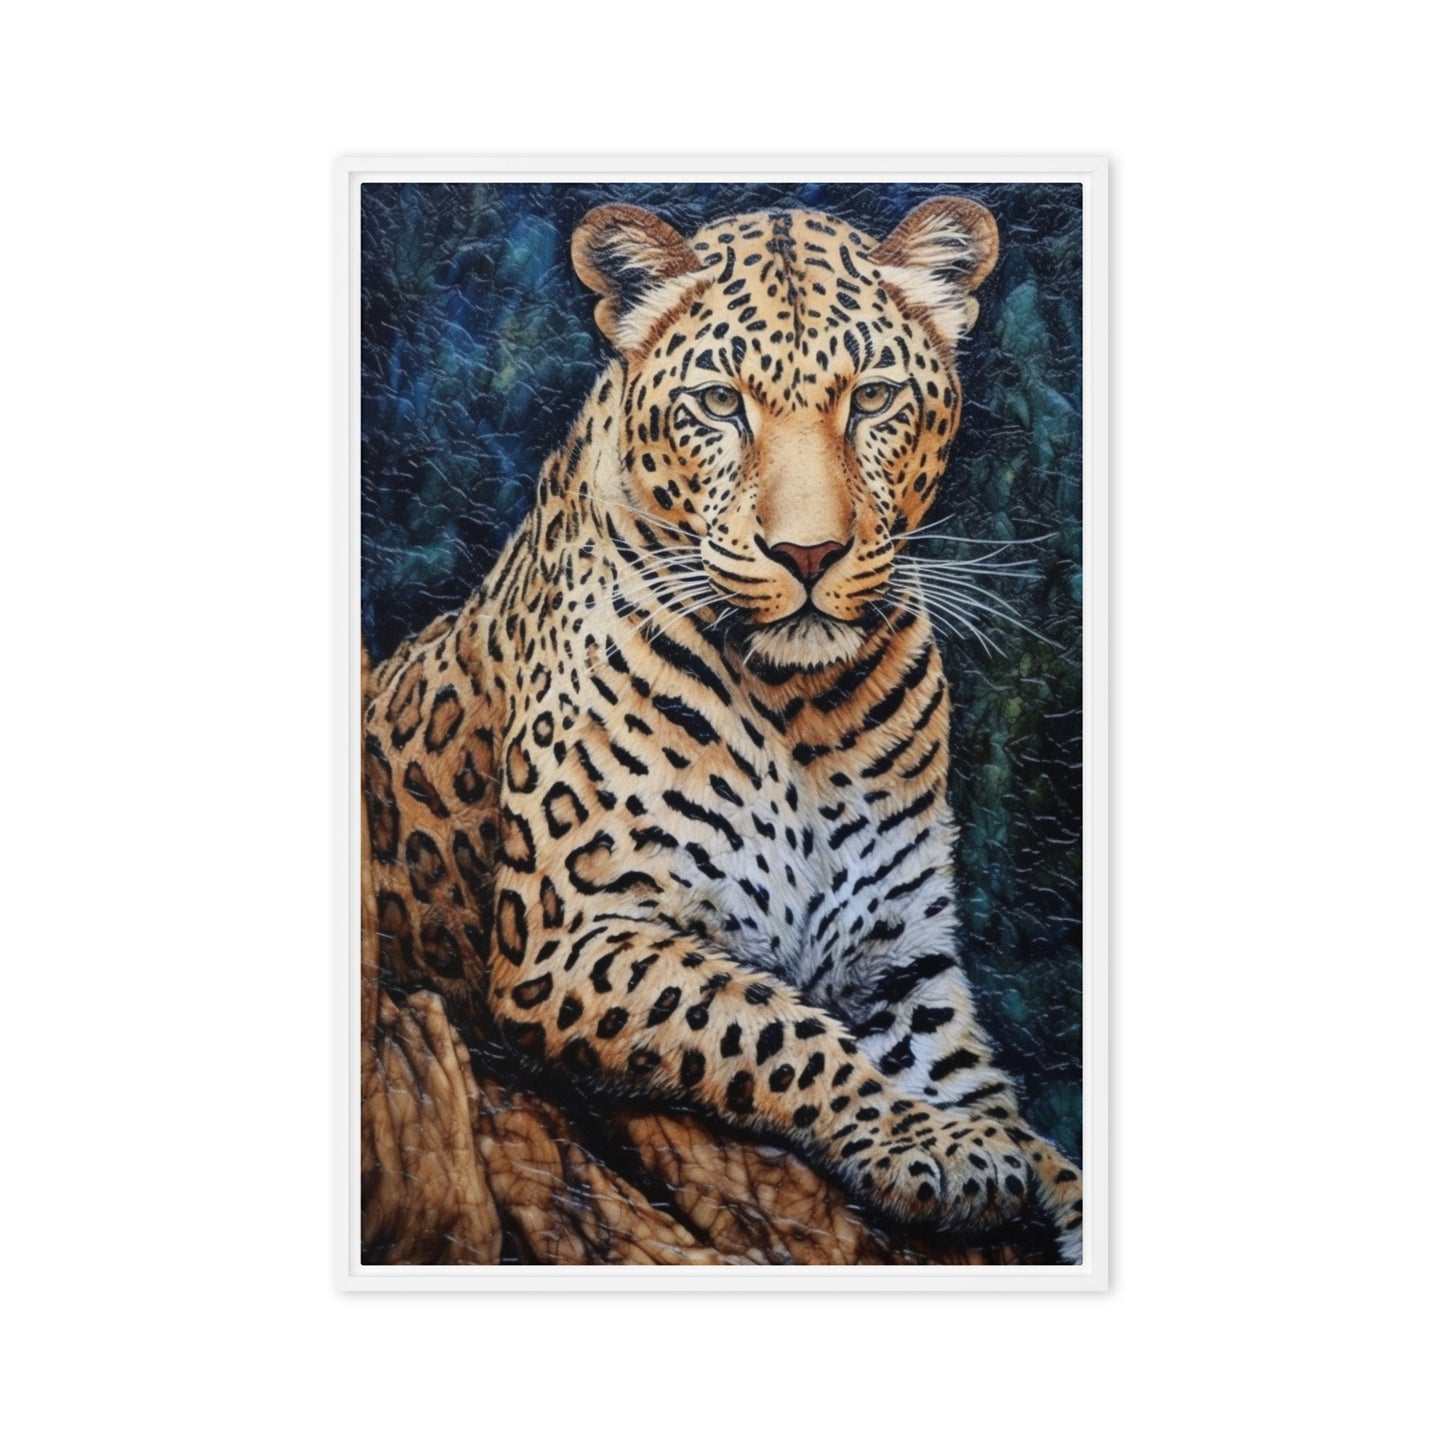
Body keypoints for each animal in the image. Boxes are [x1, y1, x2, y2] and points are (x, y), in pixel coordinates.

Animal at [362, 196, 1084, 1263]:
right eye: (718, 404)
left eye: (872, 399)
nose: (808, 554)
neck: (803, 708)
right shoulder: (569, 933)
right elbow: (772, 1027)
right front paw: (933, 1148)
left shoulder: (898, 955)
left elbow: (989, 1097)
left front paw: (1036, 1173)